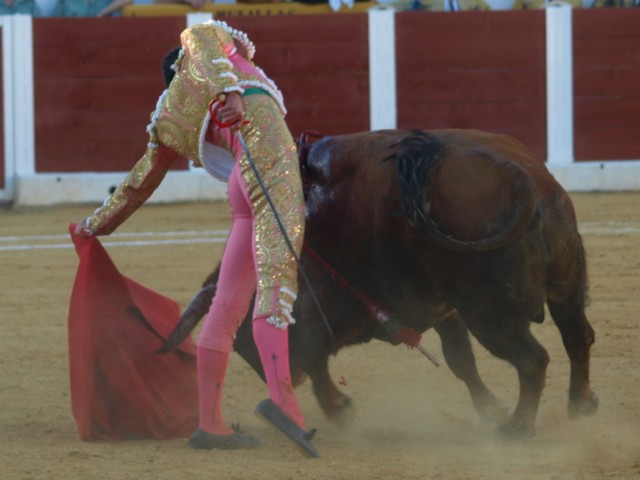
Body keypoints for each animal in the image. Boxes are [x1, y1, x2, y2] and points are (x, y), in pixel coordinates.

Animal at [161, 128, 600, 438]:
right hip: (565, 288)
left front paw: (339, 408)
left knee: (533, 359)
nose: (290, 378)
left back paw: (519, 429)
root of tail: (521, 175)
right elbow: (461, 362)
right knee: (577, 336)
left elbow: (315, 360)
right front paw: (491, 409)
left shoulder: (315, 321)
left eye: (241, 341)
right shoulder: (446, 311)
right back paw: (580, 405)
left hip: (491, 314)